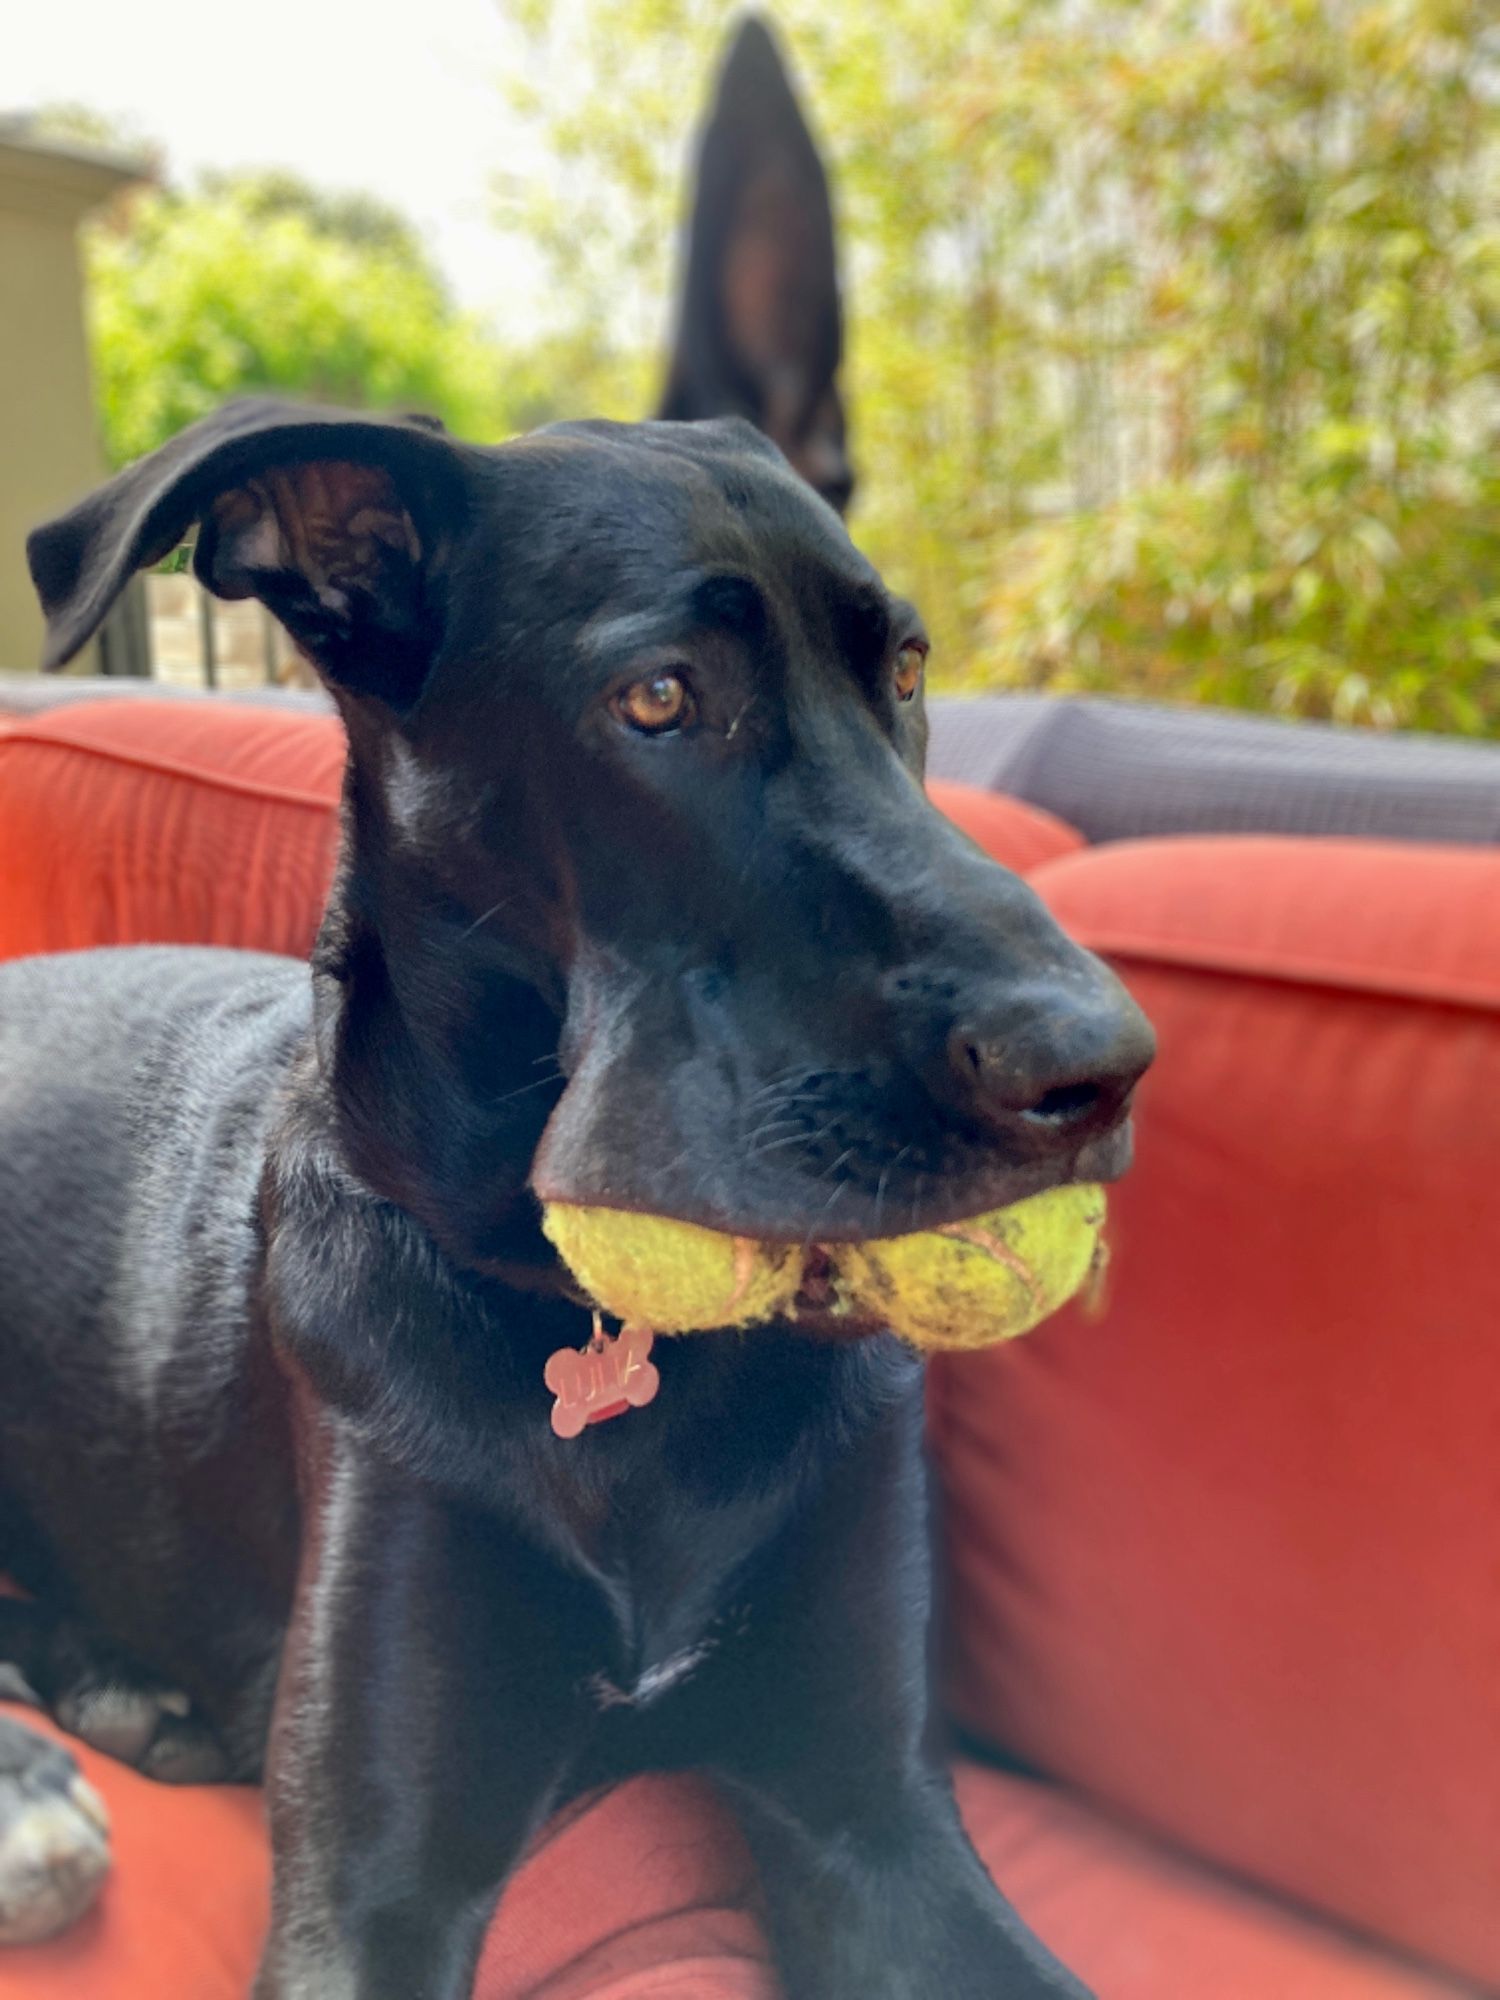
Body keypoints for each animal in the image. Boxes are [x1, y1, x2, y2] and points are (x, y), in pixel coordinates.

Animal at [0, 394, 1152, 2000]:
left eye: (910, 672)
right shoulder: (372, 1890)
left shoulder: (879, 1819)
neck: (621, 1348)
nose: (1101, 1070)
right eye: (661, 697)